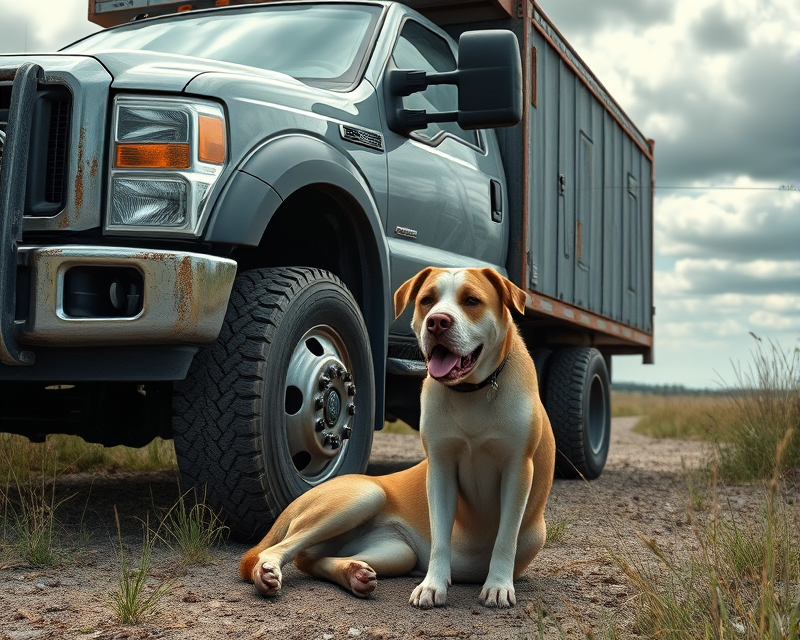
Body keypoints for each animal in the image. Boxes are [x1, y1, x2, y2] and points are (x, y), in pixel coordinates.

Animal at [239, 266, 556, 608]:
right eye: (427, 300)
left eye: (471, 300)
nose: (437, 321)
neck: (473, 391)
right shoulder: (441, 471)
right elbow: (440, 536)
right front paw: (432, 585)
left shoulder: (517, 470)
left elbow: (505, 537)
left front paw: (497, 584)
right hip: (362, 496)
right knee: (280, 550)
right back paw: (267, 572)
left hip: (396, 551)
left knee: (312, 559)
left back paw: (354, 574)